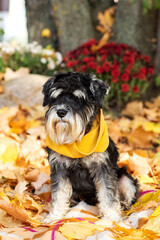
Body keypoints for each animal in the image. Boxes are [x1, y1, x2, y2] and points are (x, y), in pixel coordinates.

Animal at [42, 72, 139, 222]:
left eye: (79, 99)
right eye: (55, 97)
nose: (61, 112)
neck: (78, 140)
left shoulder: (103, 167)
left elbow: (108, 194)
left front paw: (111, 218)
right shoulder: (59, 168)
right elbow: (59, 194)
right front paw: (54, 217)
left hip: (125, 178)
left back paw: (123, 206)